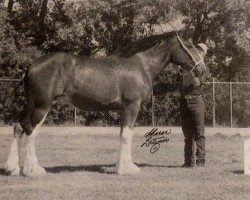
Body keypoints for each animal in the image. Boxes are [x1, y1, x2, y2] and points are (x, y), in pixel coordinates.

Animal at [4, 31, 207, 177]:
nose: (203, 69)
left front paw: (120, 166)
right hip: (42, 106)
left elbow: (121, 134)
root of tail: (31, 66)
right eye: (189, 45)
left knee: (19, 127)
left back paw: (12, 168)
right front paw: (127, 169)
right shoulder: (132, 106)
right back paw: (33, 170)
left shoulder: (124, 109)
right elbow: (127, 135)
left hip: (32, 104)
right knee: (31, 131)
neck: (142, 65)